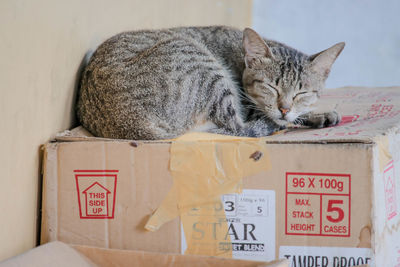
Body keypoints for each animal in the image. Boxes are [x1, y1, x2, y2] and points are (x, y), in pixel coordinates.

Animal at [76, 25, 346, 140]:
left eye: (302, 93)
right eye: (271, 87)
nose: (285, 108)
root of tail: (128, 123)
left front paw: (317, 114)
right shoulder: (249, 103)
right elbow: (264, 116)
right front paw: (309, 116)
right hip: (203, 67)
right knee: (237, 128)